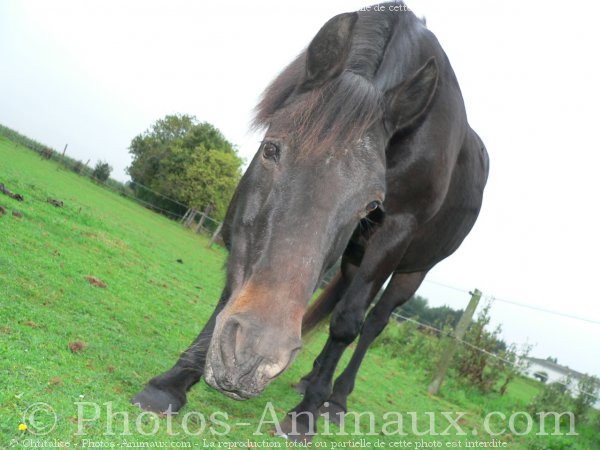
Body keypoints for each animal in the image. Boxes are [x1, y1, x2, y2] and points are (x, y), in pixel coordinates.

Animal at [132, 1, 488, 442]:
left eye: (372, 203)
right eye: (271, 150)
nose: (252, 359)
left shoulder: (394, 230)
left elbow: (347, 323)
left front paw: (306, 415)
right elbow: (233, 287)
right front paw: (173, 382)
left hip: (413, 269)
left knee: (373, 322)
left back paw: (334, 398)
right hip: (354, 258)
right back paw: (310, 380)